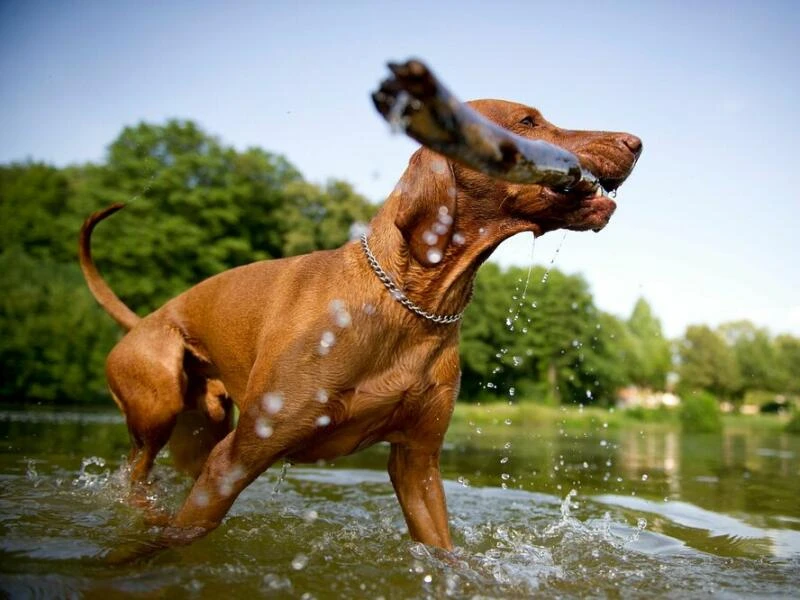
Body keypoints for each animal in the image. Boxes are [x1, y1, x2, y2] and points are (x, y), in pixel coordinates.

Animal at [81, 97, 640, 552]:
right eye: (527, 121)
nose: (635, 142)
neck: (411, 303)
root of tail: (144, 320)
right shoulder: (236, 457)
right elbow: (179, 537)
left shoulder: (418, 464)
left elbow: (445, 553)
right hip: (159, 408)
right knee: (136, 474)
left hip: (203, 426)